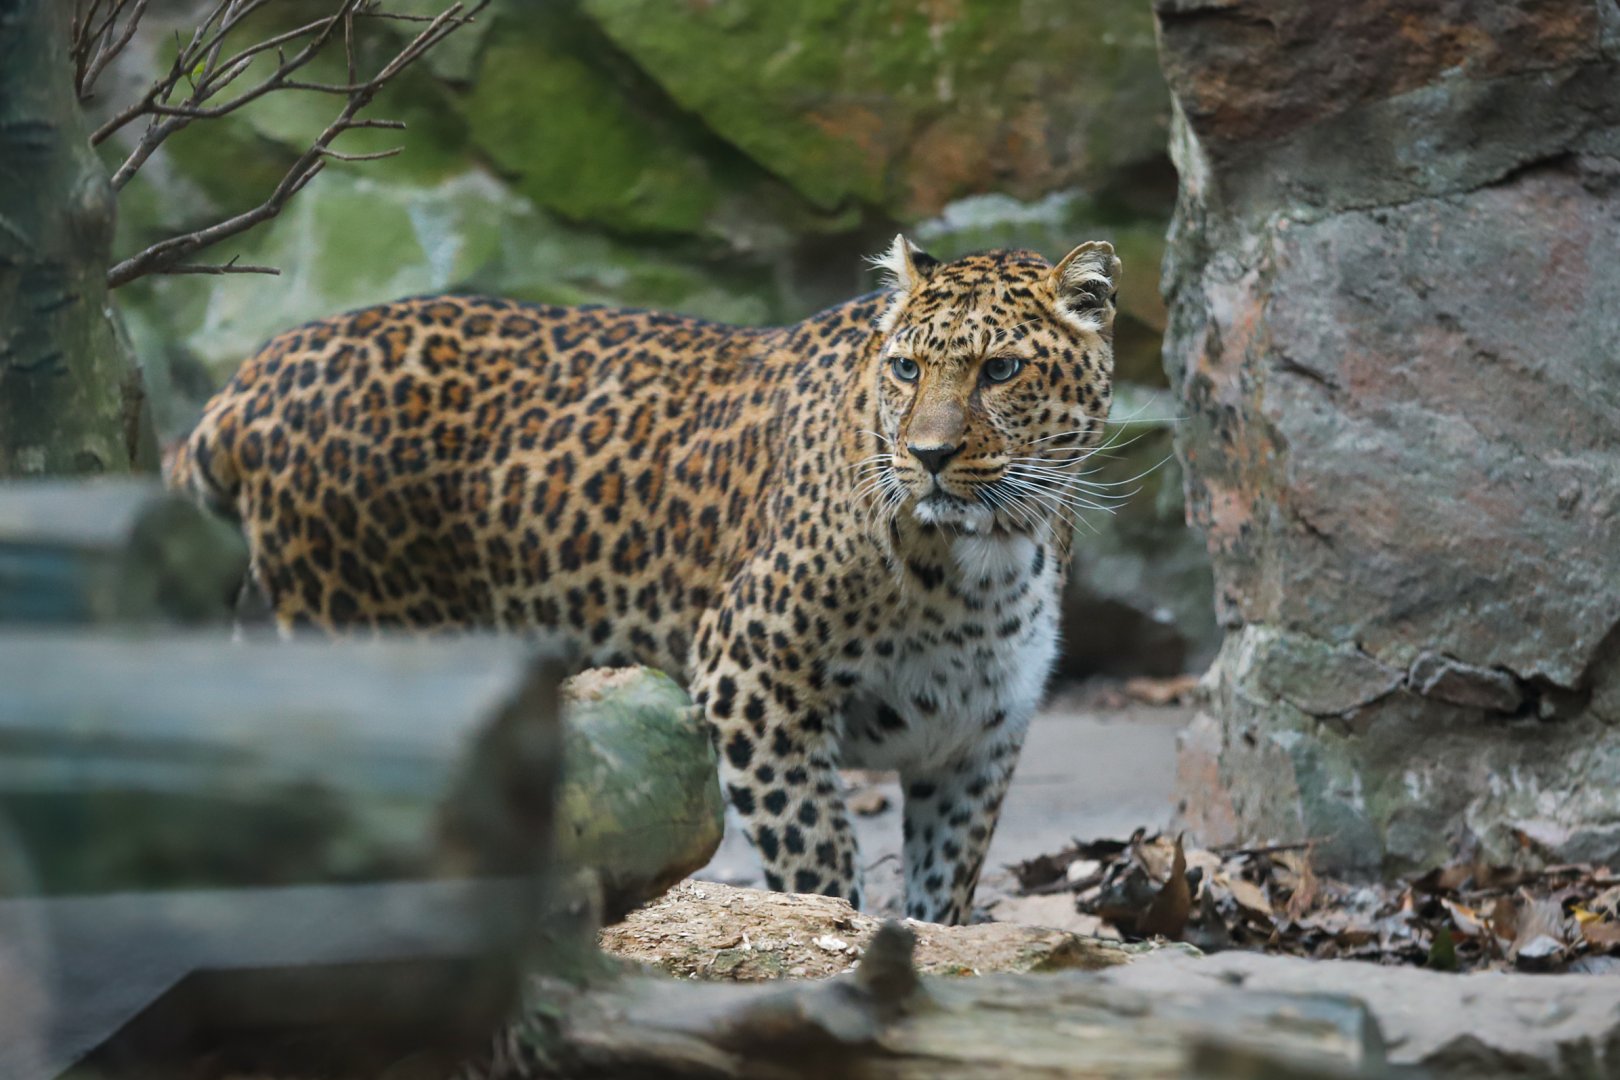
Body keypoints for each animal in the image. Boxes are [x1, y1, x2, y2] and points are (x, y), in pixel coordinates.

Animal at [169, 237, 1121, 924]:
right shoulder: (750, 678)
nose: (926, 456)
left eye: (1001, 370)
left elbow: (942, 888)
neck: (990, 554)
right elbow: (818, 862)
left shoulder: (977, 733)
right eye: (908, 368)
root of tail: (251, 378)